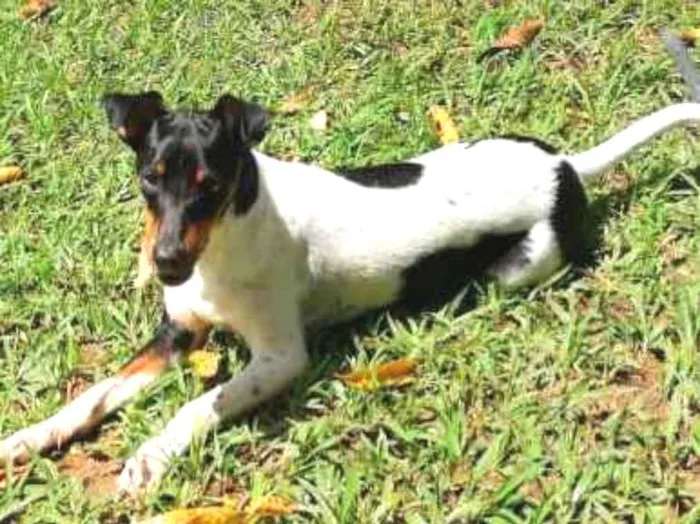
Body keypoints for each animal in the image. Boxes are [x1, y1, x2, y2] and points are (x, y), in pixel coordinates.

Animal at [2, 39, 696, 494]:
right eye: (151, 178)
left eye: (211, 186)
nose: (166, 261)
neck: (227, 240)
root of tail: (566, 167)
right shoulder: (178, 334)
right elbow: (92, 396)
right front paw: (30, 437)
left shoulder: (281, 357)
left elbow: (198, 406)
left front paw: (151, 455)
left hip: (519, 267)